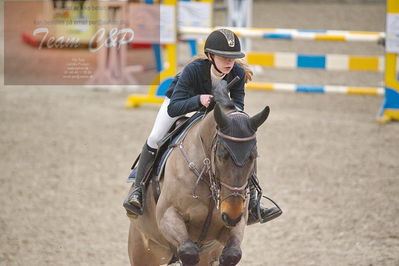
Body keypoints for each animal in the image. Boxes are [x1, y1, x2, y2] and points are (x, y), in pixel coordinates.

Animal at [128, 82, 272, 264]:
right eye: (221, 154)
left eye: (254, 156)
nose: (231, 214)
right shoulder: (167, 216)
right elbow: (188, 251)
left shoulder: (236, 223)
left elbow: (232, 253)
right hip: (143, 250)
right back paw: (134, 199)